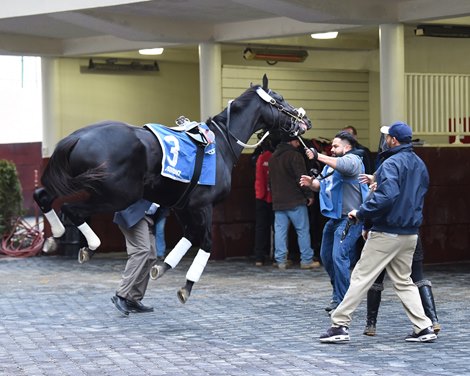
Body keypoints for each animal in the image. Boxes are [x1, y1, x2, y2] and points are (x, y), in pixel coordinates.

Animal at [34, 75, 312, 302]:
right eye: (280, 99)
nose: (305, 119)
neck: (221, 142)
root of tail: (78, 137)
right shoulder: (203, 205)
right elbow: (206, 242)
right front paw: (186, 286)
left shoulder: (183, 206)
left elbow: (189, 236)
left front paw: (162, 266)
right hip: (116, 195)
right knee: (72, 210)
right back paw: (88, 246)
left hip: (77, 183)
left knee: (43, 196)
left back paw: (53, 236)